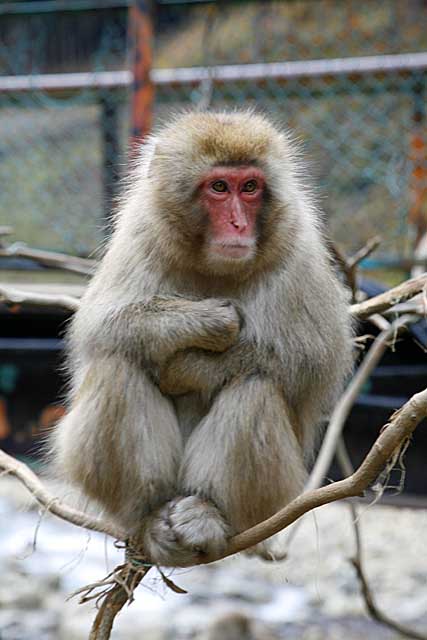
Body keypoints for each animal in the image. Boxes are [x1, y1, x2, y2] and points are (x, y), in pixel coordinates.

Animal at [51, 109, 354, 564]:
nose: (238, 224)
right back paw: (150, 515)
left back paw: (208, 512)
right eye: (219, 187)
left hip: (277, 495)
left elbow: (311, 358)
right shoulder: (140, 235)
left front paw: (187, 367)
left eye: (250, 188)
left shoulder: (298, 249)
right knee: (116, 365)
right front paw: (203, 320)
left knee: (255, 385)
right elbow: (103, 325)